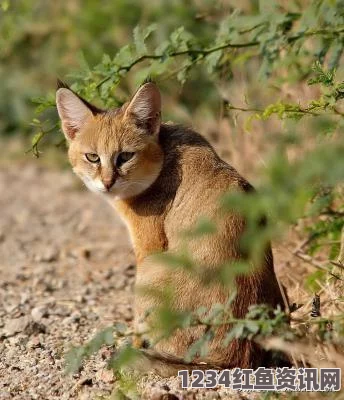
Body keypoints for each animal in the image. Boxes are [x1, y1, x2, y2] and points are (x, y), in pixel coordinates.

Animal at [56, 80, 286, 376]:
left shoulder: (148, 248)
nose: (107, 183)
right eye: (92, 157)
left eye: (125, 156)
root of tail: (239, 358)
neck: (165, 152)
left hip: (150, 270)